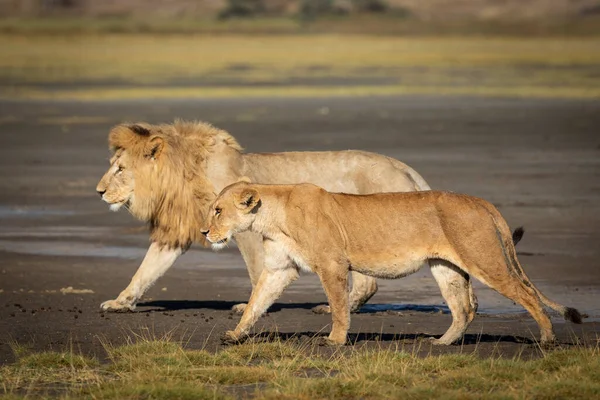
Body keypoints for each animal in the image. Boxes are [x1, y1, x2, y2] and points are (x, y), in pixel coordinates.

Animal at [96, 119, 474, 316]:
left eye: (120, 169)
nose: (98, 192)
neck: (182, 176)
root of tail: (402, 166)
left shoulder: (245, 229)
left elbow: (255, 269)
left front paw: (251, 305)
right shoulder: (177, 230)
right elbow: (146, 269)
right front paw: (121, 302)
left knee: (370, 281)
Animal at [203, 182, 580, 346]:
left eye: (218, 210)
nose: (205, 232)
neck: (271, 215)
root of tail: (480, 201)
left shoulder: (332, 263)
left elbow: (339, 306)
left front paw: (335, 340)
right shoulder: (280, 269)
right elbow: (257, 302)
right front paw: (236, 334)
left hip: (484, 260)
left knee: (527, 295)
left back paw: (548, 338)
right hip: (446, 268)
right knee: (464, 309)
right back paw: (442, 343)